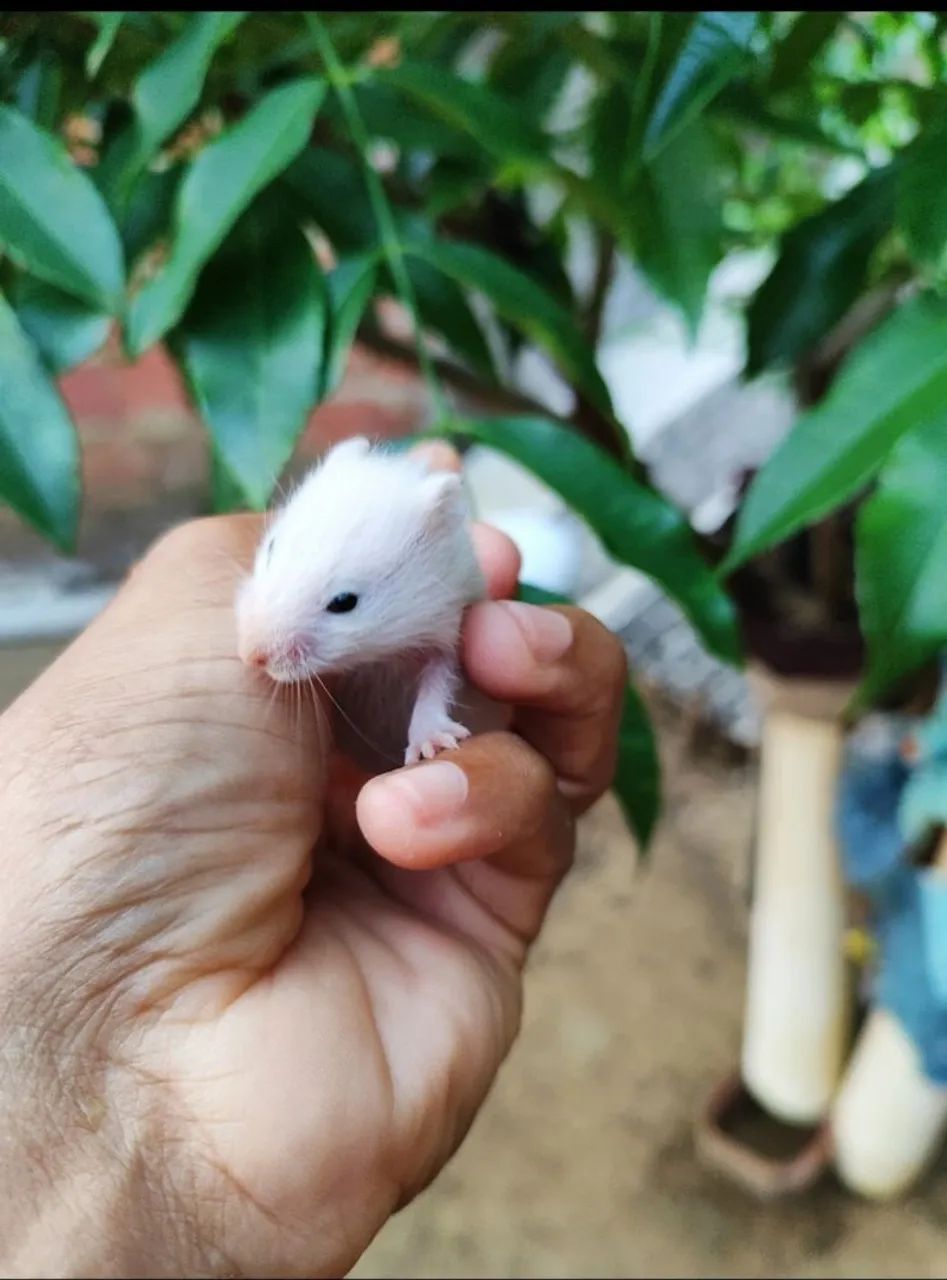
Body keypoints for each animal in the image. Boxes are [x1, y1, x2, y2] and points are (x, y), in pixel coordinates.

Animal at [235, 435, 487, 765]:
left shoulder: (447, 628)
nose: (248, 655)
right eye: (272, 547)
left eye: (344, 602)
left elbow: (438, 679)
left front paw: (430, 746)